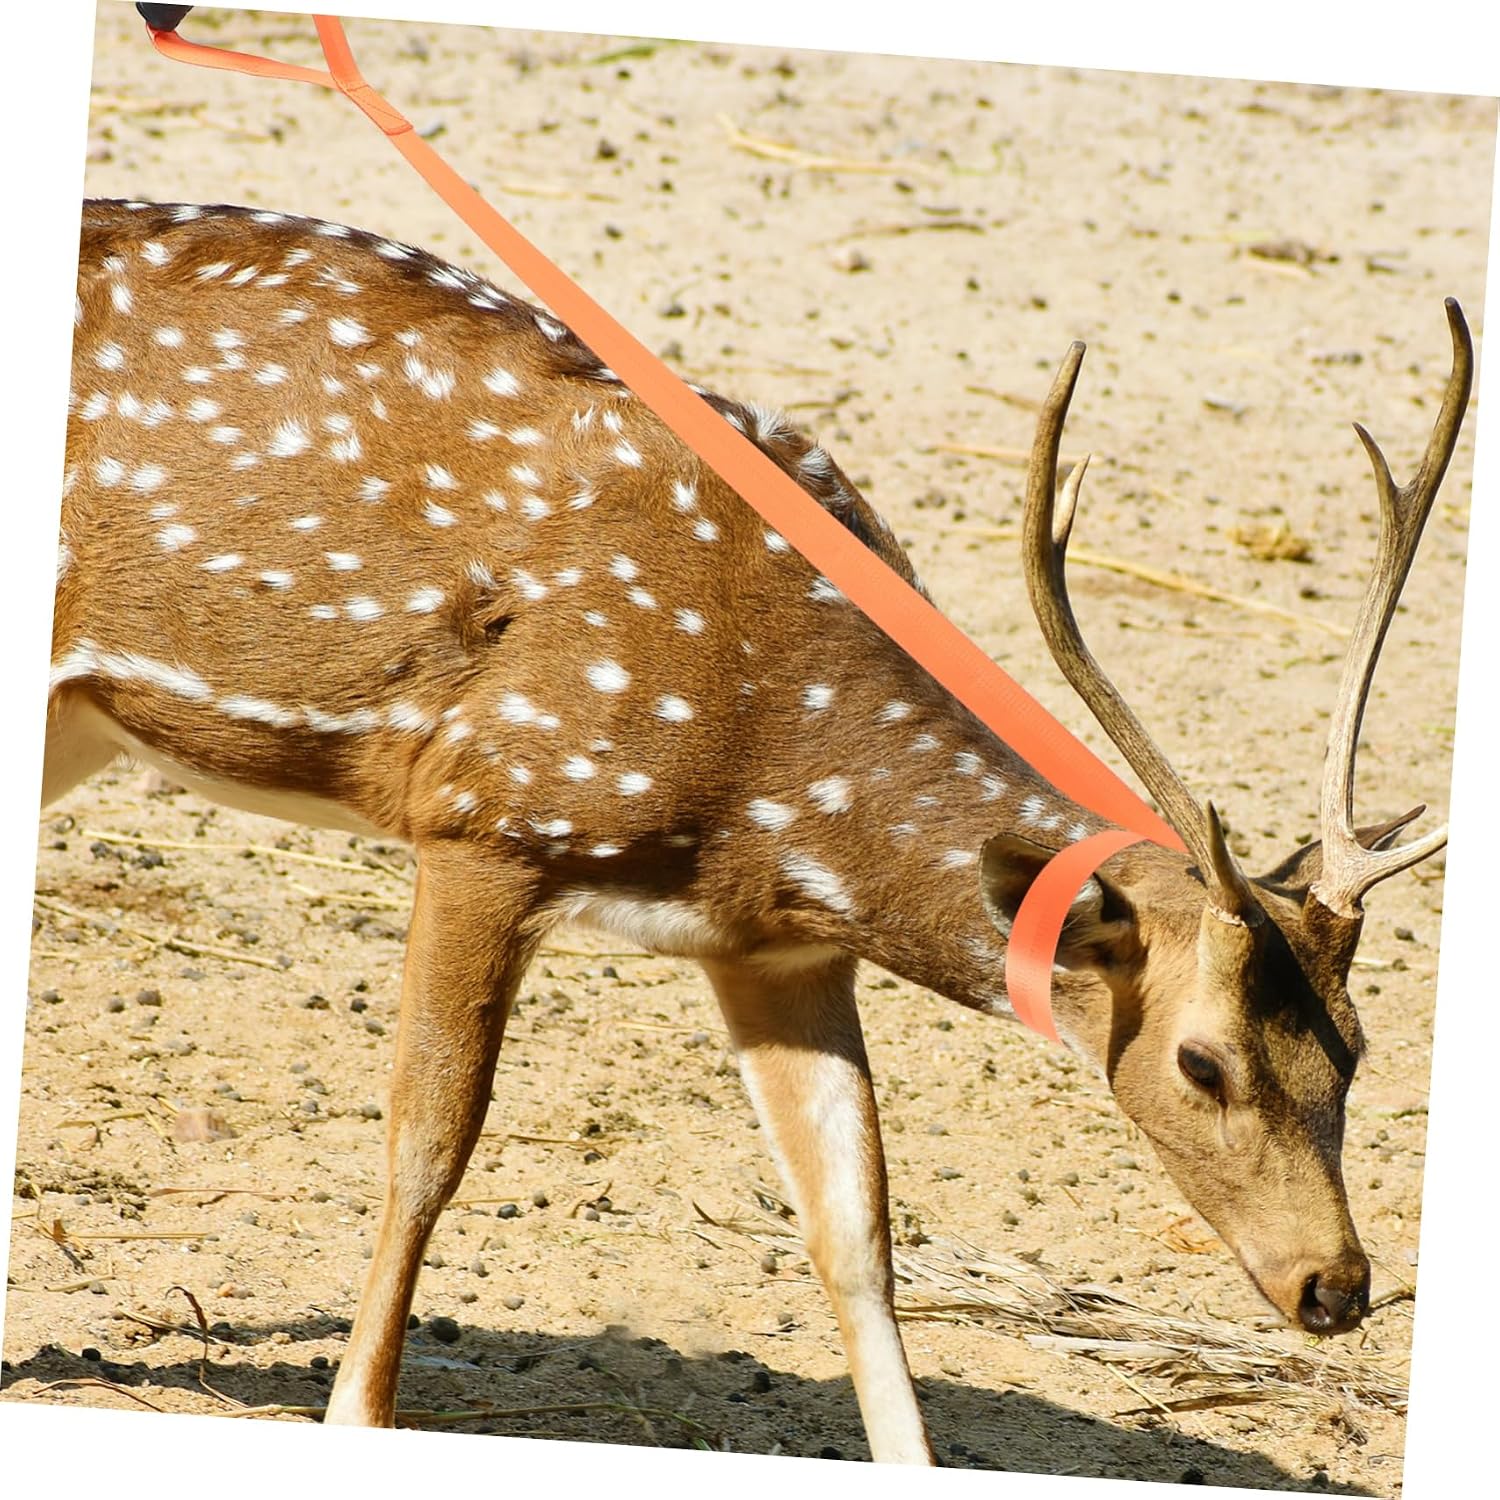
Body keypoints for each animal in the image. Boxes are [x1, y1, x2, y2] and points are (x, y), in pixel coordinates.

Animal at [47, 197, 1471, 1464]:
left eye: (1359, 1049)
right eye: (1202, 1063)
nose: (1339, 1287)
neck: (769, 764)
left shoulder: (773, 947)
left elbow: (858, 1230)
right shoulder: (487, 817)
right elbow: (427, 1147)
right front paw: (356, 1415)